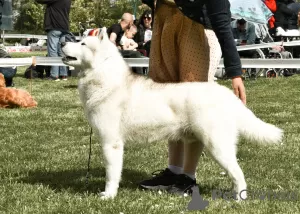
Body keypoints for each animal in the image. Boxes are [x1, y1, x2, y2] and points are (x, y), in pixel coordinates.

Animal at [61, 27, 284, 200]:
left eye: (82, 43)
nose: (63, 41)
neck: (104, 77)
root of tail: (226, 93)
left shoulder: (111, 142)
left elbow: (111, 174)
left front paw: (108, 195)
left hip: (217, 145)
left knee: (238, 173)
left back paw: (239, 199)